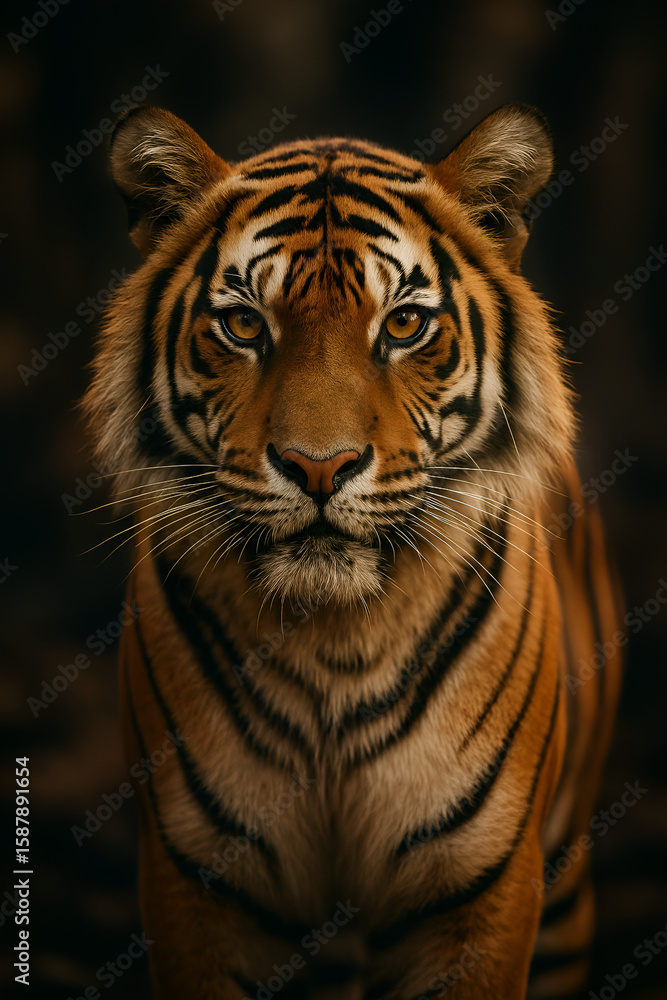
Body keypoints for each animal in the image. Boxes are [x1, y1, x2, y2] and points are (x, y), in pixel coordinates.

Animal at [84, 102, 623, 999]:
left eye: (402, 323)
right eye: (243, 323)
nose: (318, 466)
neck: (330, 638)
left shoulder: (479, 885)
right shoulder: (197, 879)